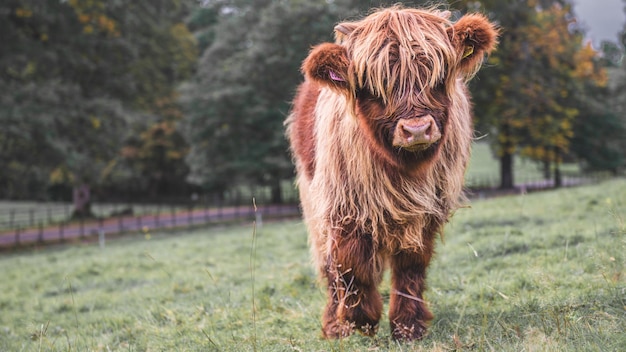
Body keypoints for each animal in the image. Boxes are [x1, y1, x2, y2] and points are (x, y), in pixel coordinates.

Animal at [286, 6, 494, 340]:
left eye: (438, 76)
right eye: (373, 85)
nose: (417, 129)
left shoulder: (425, 211)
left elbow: (411, 267)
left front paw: (408, 326)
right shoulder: (345, 207)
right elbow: (351, 265)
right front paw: (360, 321)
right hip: (313, 202)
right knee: (328, 266)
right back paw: (334, 325)